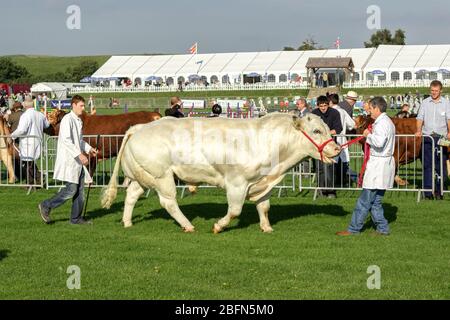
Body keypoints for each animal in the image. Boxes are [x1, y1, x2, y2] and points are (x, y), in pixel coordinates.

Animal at [102, 112, 342, 232]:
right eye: (316, 130)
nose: (337, 149)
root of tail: (139, 128)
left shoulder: (262, 182)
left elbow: (264, 207)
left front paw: (266, 227)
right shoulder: (237, 183)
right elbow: (235, 210)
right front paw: (218, 226)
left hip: (143, 176)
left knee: (131, 195)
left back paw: (127, 222)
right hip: (163, 177)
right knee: (168, 202)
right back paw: (188, 225)